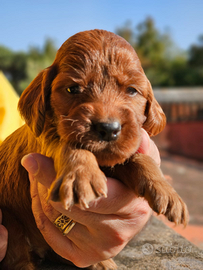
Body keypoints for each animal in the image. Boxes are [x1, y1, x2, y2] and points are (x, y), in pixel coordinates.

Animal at [0, 29, 188, 270]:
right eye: (72, 89)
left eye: (132, 90)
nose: (108, 129)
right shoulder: (45, 138)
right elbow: (69, 145)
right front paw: (82, 176)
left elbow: (137, 158)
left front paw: (167, 191)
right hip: (9, 220)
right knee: (18, 256)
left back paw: (102, 262)